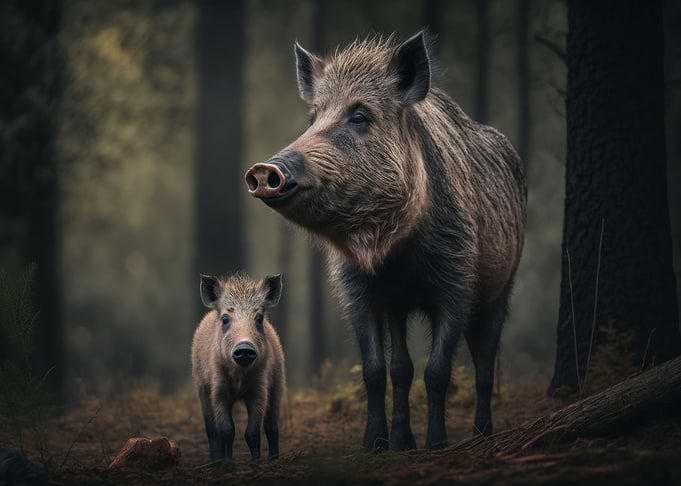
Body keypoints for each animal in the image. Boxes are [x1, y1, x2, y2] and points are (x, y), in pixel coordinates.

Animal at [192, 273, 285, 461]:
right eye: (225, 319)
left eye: (259, 318)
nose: (244, 347)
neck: (239, 379)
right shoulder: (218, 390)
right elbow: (226, 430)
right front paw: (228, 463)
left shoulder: (259, 390)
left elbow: (252, 433)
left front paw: (255, 463)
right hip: (202, 390)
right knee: (212, 431)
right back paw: (214, 460)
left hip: (278, 384)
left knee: (272, 427)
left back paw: (274, 459)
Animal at [245, 32, 526, 450]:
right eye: (312, 118)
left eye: (360, 116)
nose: (264, 169)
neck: (395, 256)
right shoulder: (358, 291)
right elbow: (377, 370)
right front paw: (375, 445)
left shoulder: (457, 282)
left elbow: (438, 370)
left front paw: (437, 444)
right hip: (399, 308)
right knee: (402, 367)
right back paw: (404, 441)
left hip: (501, 287)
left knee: (485, 364)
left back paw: (480, 434)